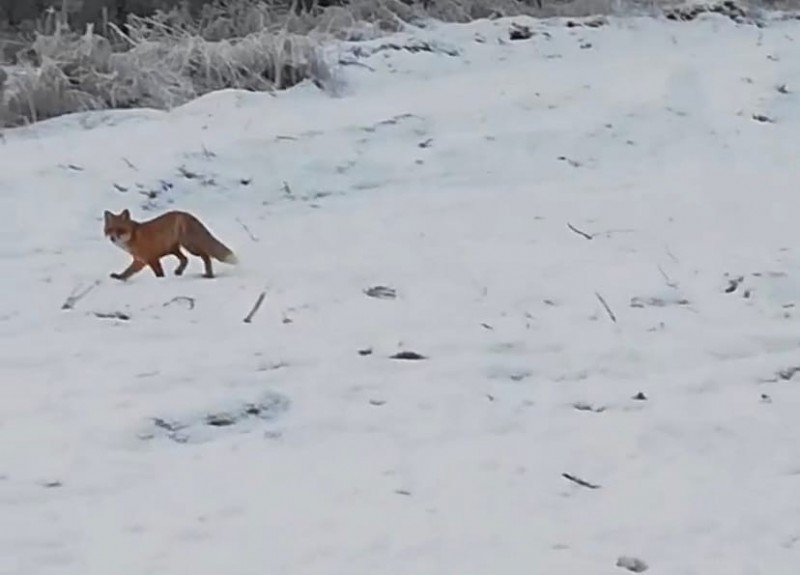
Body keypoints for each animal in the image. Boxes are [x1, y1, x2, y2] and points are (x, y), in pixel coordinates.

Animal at [102, 209, 238, 282]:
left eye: (120, 230)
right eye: (110, 230)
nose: (113, 238)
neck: (134, 236)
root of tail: (187, 214)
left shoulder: (151, 258)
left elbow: (159, 273)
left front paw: (160, 280)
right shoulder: (140, 261)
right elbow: (127, 272)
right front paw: (119, 277)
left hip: (190, 246)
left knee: (205, 256)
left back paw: (208, 275)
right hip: (173, 249)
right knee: (185, 259)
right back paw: (179, 271)